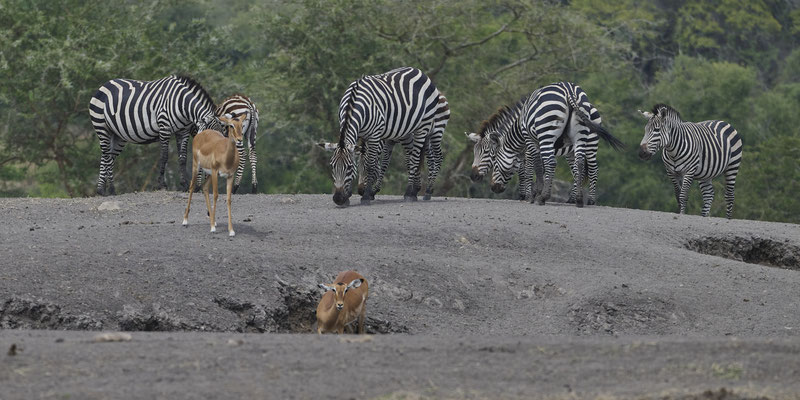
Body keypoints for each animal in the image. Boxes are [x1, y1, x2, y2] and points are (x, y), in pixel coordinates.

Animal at [89, 75, 217, 195]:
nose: (201, 188)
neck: (182, 104)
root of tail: (105, 84)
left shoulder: (182, 131)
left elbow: (182, 158)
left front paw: (185, 184)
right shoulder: (164, 127)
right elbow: (164, 156)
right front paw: (162, 184)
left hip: (117, 135)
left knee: (108, 156)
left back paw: (103, 190)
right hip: (101, 126)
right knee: (106, 156)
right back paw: (108, 189)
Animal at [328, 67, 449, 206]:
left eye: (348, 167)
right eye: (332, 166)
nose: (338, 198)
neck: (354, 103)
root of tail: (419, 71)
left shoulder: (376, 134)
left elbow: (372, 164)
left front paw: (366, 196)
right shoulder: (366, 135)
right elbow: (378, 161)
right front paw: (349, 196)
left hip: (429, 128)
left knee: (422, 157)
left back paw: (415, 192)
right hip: (413, 132)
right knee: (418, 157)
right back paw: (416, 190)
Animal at [490, 82, 624, 206]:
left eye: (495, 163)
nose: (493, 188)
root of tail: (569, 90)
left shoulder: (530, 141)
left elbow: (533, 169)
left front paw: (533, 195)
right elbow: (537, 170)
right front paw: (534, 193)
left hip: (584, 141)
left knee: (591, 169)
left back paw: (587, 200)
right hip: (577, 140)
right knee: (578, 165)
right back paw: (576, 199)